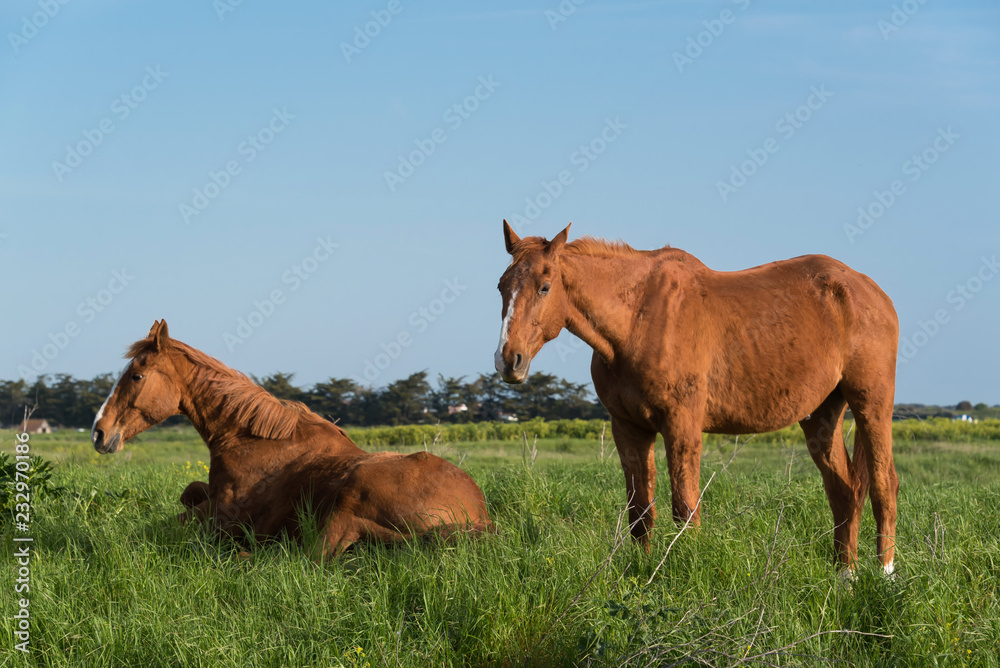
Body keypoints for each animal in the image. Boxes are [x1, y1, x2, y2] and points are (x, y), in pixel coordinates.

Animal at [92, 320, 492, 557]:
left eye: (137, 376)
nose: (99, 432)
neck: (250, 441)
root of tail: (479, 517)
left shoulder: (223, 518)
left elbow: (166, 525)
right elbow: (187, 494)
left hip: (347, 503)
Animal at [494, 222, 899, 574]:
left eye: (545, 286)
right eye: (501, 287)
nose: (508, 360)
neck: (638, 319)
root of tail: (870, 291)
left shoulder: (681, 425)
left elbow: (685, 508)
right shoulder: (628, 429)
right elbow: (640, 512)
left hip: (871, 403)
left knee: (883, 484)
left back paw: (884, 574)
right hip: (821, 415)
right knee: (844, 491)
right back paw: (844, 576)